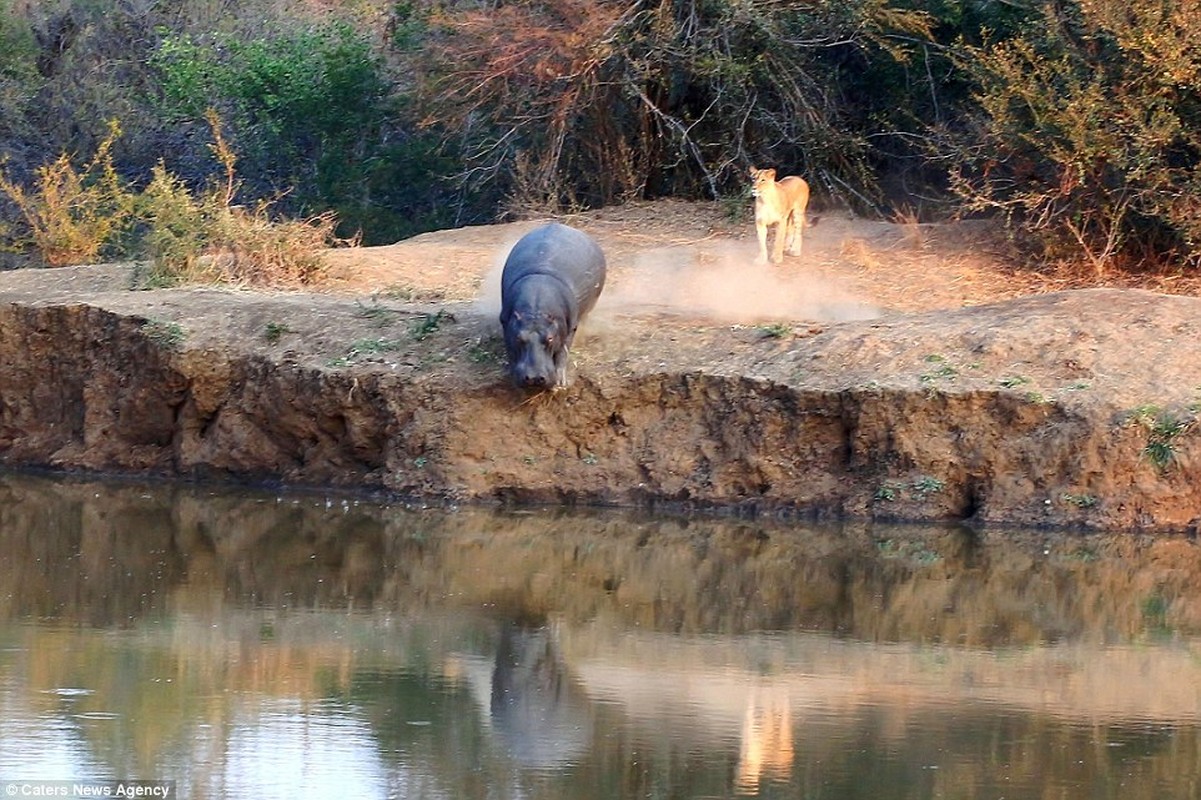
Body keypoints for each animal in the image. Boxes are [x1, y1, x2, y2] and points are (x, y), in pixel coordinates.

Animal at [499, 222, 605, 386]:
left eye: (549, 338)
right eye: (519, 338)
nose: (535, 377)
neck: (536, 310)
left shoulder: (570, 326)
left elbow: (563, 351)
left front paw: (561, 382)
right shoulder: (506, 322)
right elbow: (510, 349)